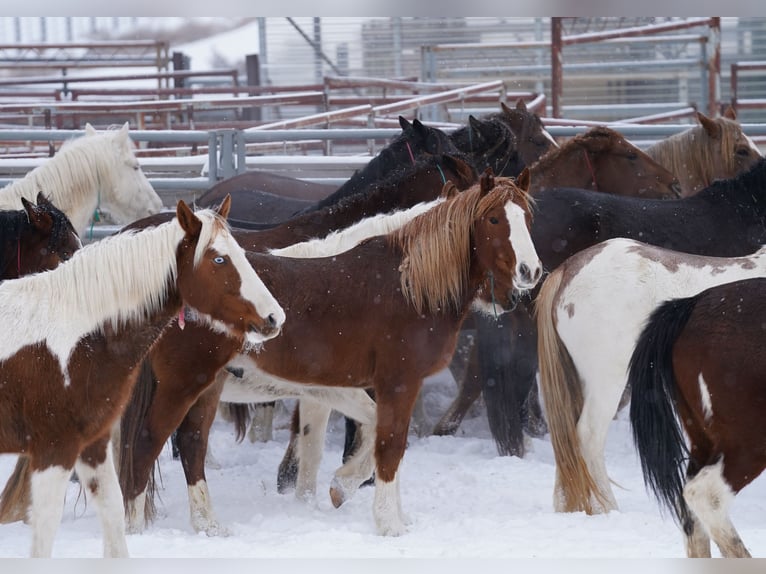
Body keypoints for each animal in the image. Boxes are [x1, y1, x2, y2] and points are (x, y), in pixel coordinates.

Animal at [0, 197, 284, 560]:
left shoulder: (92, 444)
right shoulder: (54, 448)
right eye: (219, 258)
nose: (275, 317)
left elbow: (114, 513)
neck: (72, 332)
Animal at [115, 173, 540, 536]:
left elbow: (361, 441)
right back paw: (134, 529)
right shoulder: (396, 383)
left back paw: (208, 526)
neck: (407, 284)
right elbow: (389, 446)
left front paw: (347, 491)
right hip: (182, 383)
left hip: (207, 386)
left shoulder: (339, 388)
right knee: (146, 444)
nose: (530, 272)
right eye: (493, 219)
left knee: (191, 445)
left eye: (528, 217)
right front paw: (389, 524)